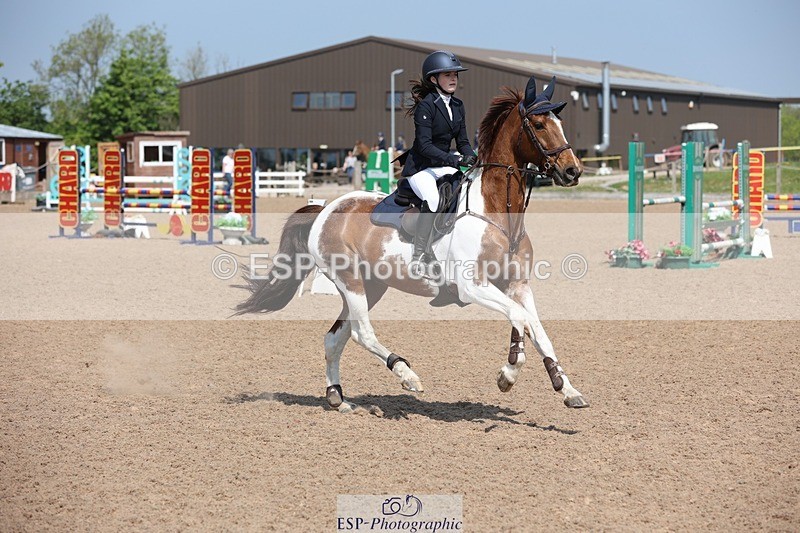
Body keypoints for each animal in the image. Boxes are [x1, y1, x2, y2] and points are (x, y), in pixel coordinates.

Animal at [237, 75, 588, 413]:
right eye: (539, 125)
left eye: (560, 123)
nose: (573, 171)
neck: (498, 216)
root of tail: (325, 210)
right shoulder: (472, 286)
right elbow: (519, 318)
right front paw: (509, 374)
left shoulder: (518, 285)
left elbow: (538, 330)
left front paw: (566, 389)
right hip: (351, 282)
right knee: (362, 333)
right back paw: (407, 375)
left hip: (371, 285)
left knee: (335, 338)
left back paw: (338, 397)